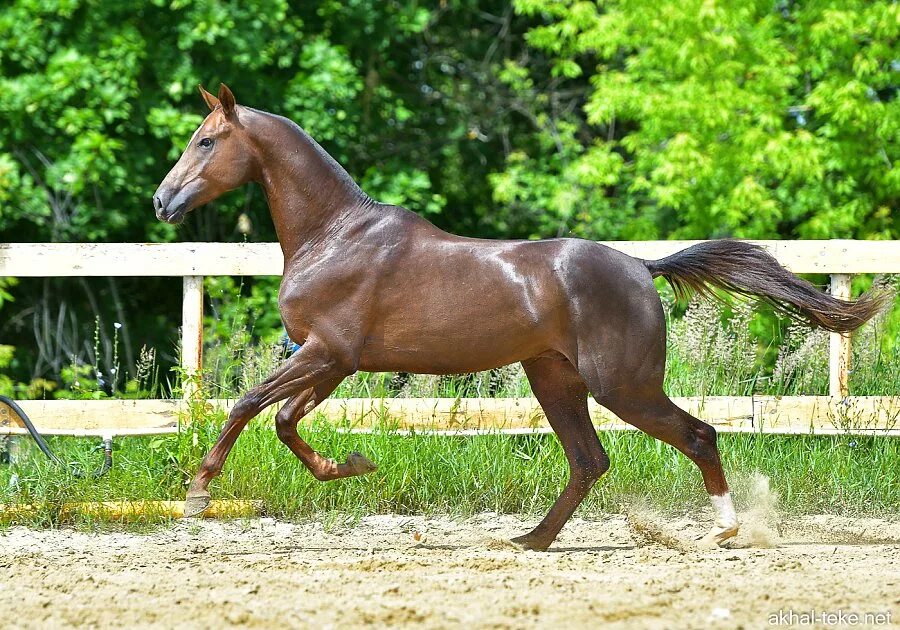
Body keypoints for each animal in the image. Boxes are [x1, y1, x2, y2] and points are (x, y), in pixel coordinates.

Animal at [153, 85, 884, 552]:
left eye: (206, 141)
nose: (163, 201)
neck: (334, 234)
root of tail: (642, 267)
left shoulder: (326, 353)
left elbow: (248, 405)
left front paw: (197, 496)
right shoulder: (332, 360)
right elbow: (282, 420)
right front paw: (353, 465)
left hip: (623, 385)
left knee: (696, 435)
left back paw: (723, 530)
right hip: (554, 378)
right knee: (589, 460)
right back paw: (531, 539)